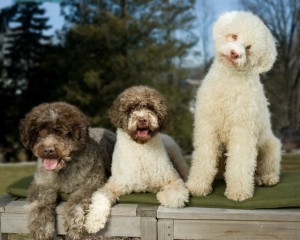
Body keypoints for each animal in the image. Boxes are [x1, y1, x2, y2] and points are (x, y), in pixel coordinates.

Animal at [188, 11, 282, 202]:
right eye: (234, 36)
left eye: (248, 47)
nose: (234, 53)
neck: (229, 80)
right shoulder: (207, 126)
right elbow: (204, 156)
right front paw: (198, 186)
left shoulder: (243, 129)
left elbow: (240, 160)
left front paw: (238, 191)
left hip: (270, 147)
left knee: (267, 166)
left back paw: (266, 178)